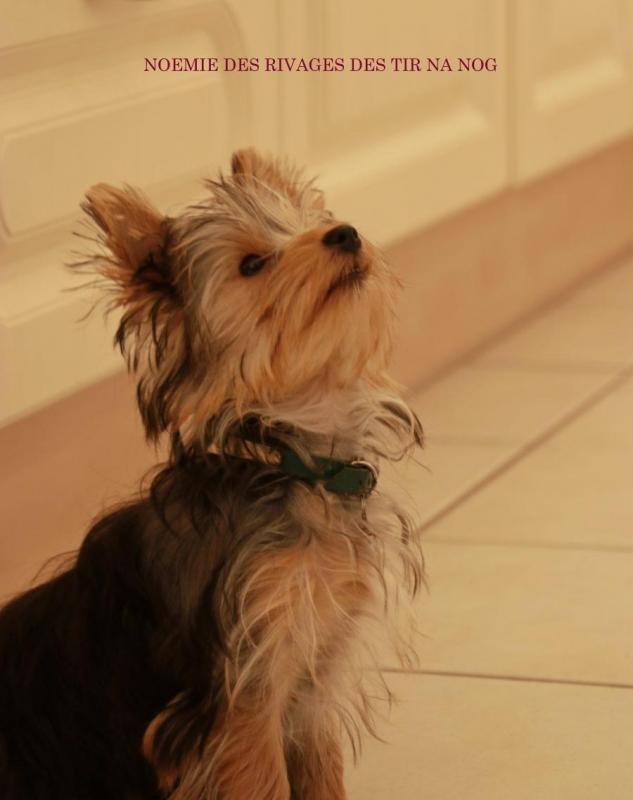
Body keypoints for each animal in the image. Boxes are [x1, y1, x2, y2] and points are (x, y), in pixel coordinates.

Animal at [0, 148, 424, 799]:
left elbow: (321, 773)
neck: (298, 461)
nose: (346, 233)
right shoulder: (241, 696)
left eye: (312, 222)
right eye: (252, 264)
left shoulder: (314, 671)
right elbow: (263, 781)